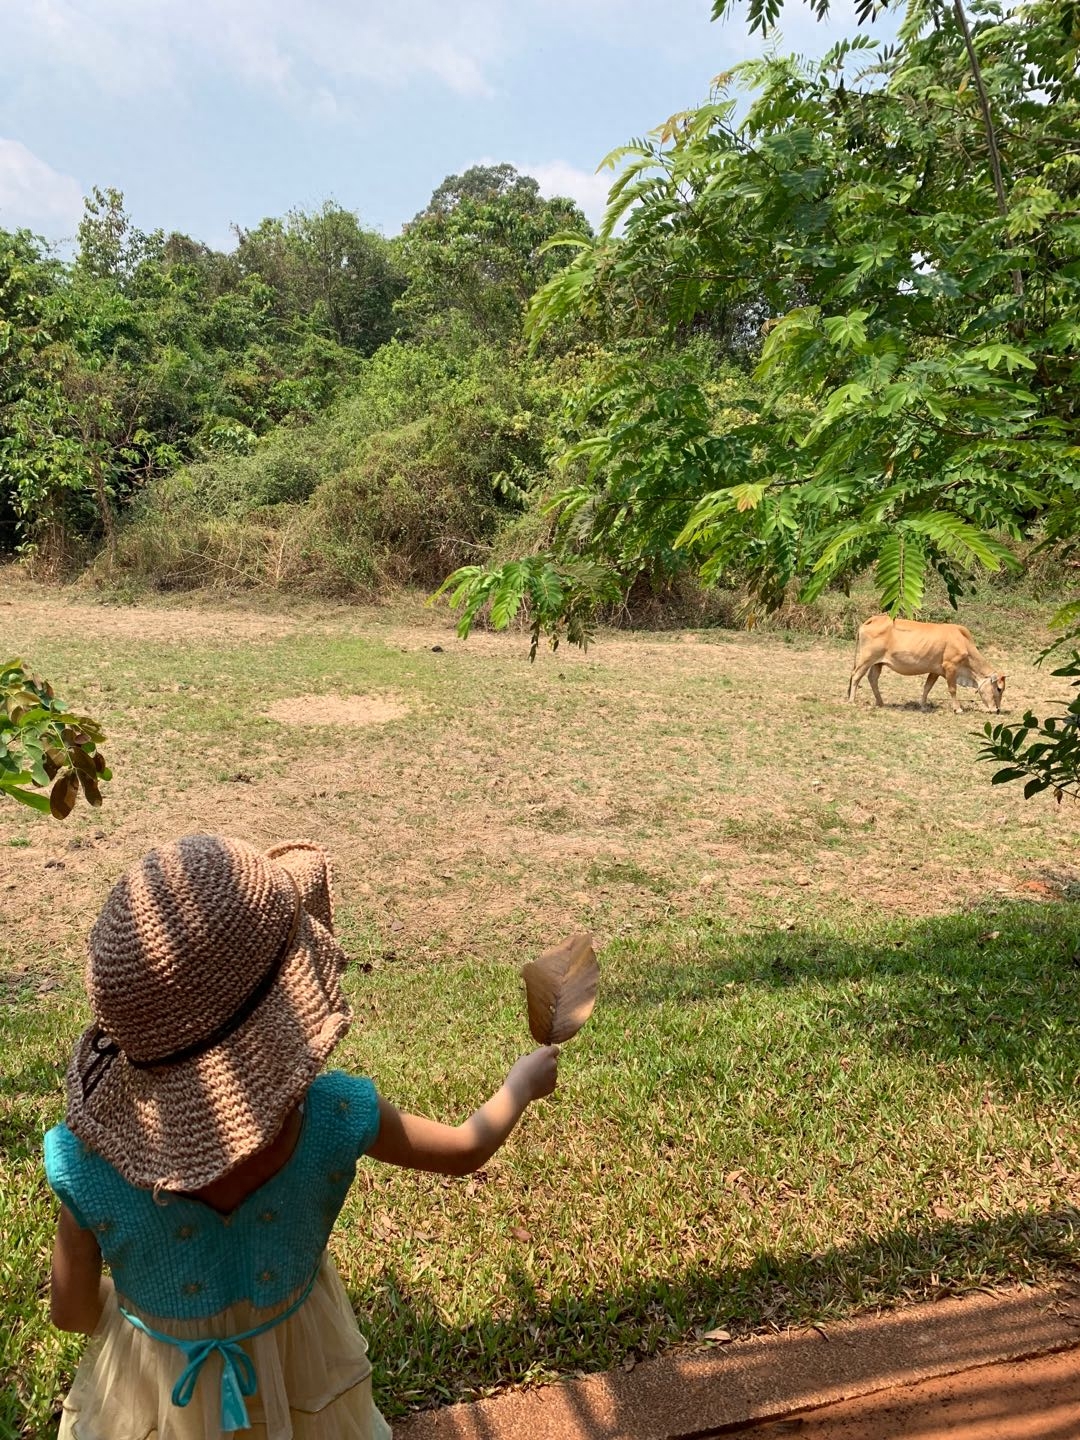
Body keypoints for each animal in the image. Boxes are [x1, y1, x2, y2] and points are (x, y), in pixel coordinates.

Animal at [852, 613, 1013, 714]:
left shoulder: (935, 671)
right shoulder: (950, 667)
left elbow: (927, 688)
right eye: (999, 688)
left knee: (872, 678)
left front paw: (923, 706)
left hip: (877, 663)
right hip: (866, 659)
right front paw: (958, 709)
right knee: (856, 676)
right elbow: (952, 689)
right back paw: (852, 700)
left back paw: (880, 702)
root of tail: (873, 619)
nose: (997, 710)